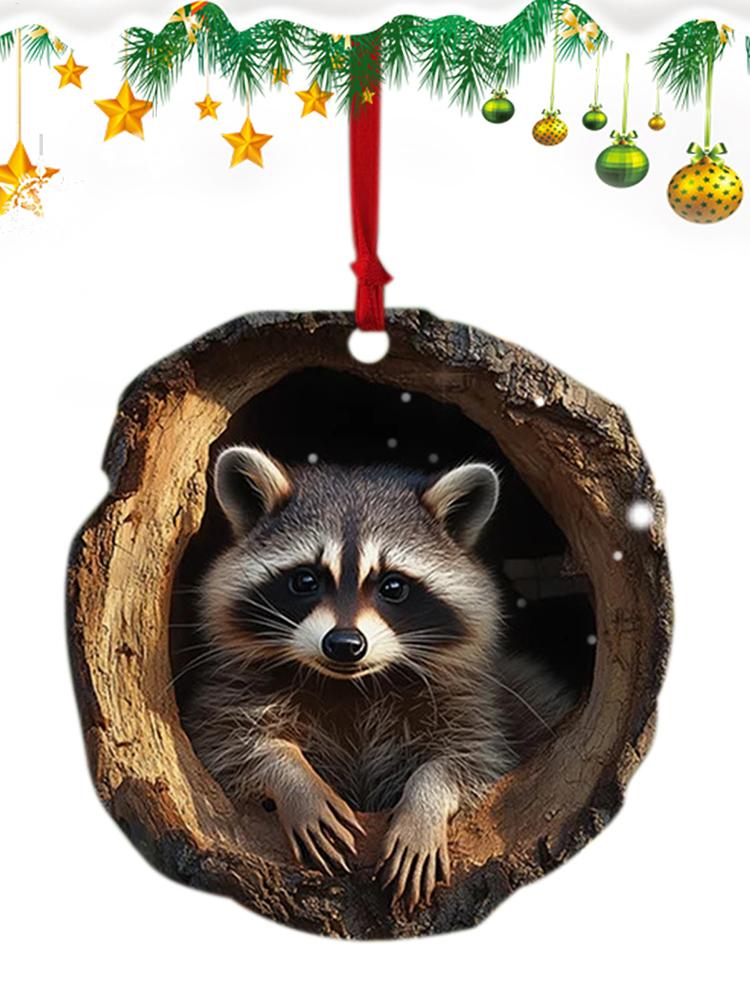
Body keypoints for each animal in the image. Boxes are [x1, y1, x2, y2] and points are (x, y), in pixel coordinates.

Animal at [181, 446, 573, 910]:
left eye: (393, 586)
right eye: (306, 580)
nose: (344, 644)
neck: (352, 684)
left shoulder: (468, 700)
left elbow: (473, 760)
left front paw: (424, 803)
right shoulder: (234, 689)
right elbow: (228, 743)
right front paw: (293, 778)